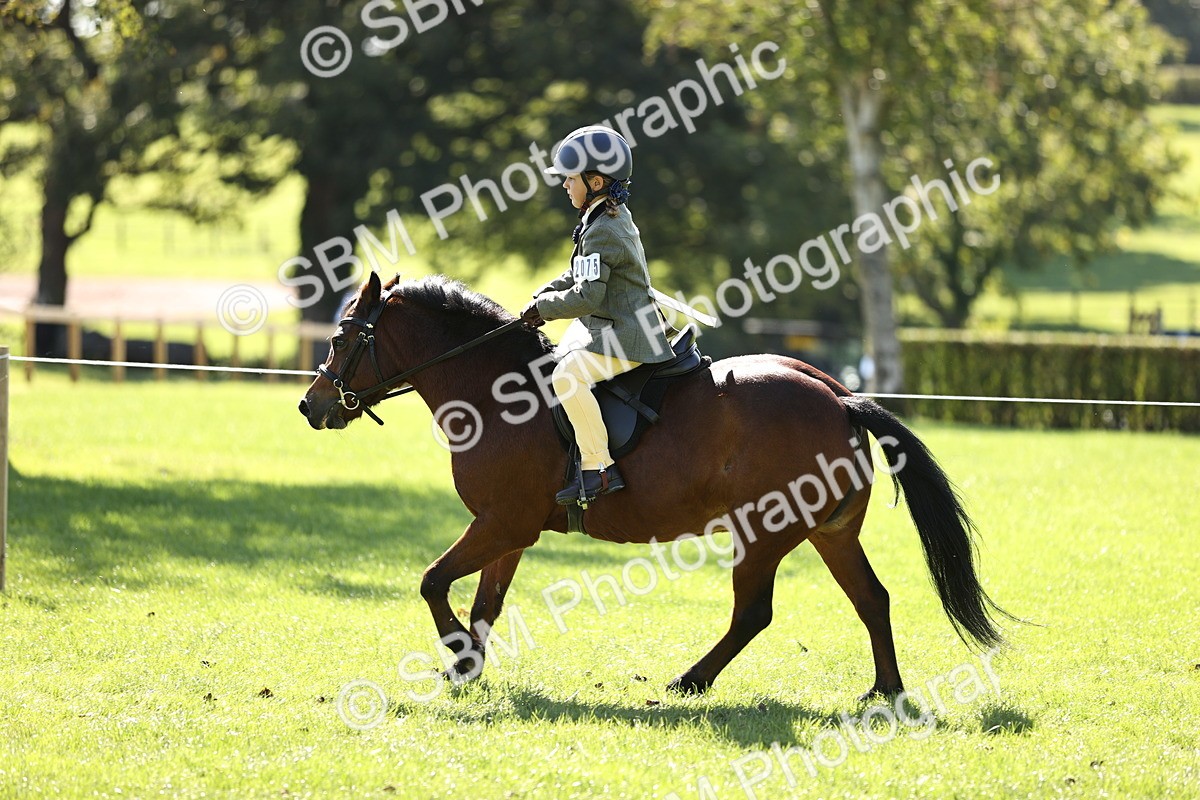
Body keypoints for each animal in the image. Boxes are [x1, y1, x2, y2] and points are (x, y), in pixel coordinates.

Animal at [298, 271, 1011, 699]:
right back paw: (885, 691)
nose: (311, 406)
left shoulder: (501, 522)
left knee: (754, 612)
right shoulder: (510, 531)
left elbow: (433, 582)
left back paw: (690, 681)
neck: (494, 392)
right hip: (830, 534)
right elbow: (484, 605)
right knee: (872, 599)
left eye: (342, 338)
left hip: (764, 531)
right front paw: (468, 665)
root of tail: (839, 396)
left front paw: (455, 658)